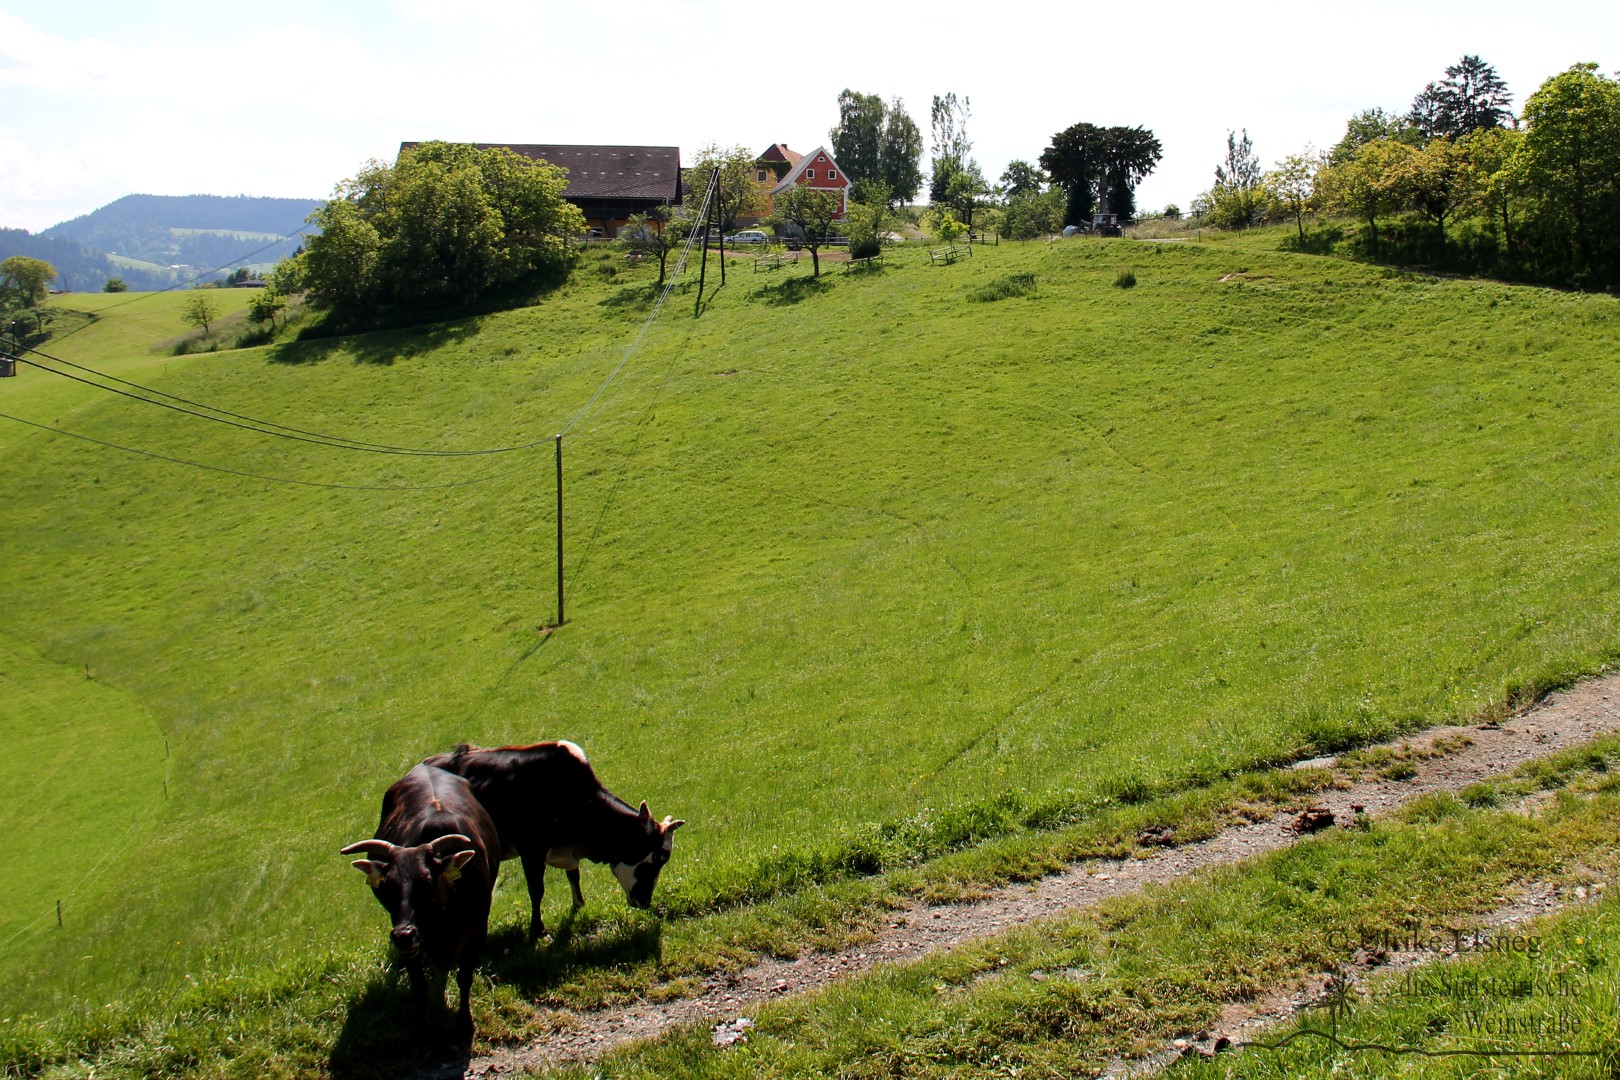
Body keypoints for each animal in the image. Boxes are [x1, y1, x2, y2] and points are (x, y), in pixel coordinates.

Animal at [340, 763, 501, 1041]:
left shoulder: (477, 932)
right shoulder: (412, 946)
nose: (404, 935)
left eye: (427, 881)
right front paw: (421, 1027)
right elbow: (418, 984)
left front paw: (464, 1024)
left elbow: (464, 978)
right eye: (388, 886)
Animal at [423, 740, 683, 940]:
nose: (645, 900)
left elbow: (574, 875)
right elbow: (537, 890)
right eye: (654, 858)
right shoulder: (531, 850)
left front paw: (579, 905)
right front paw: (537, 930)